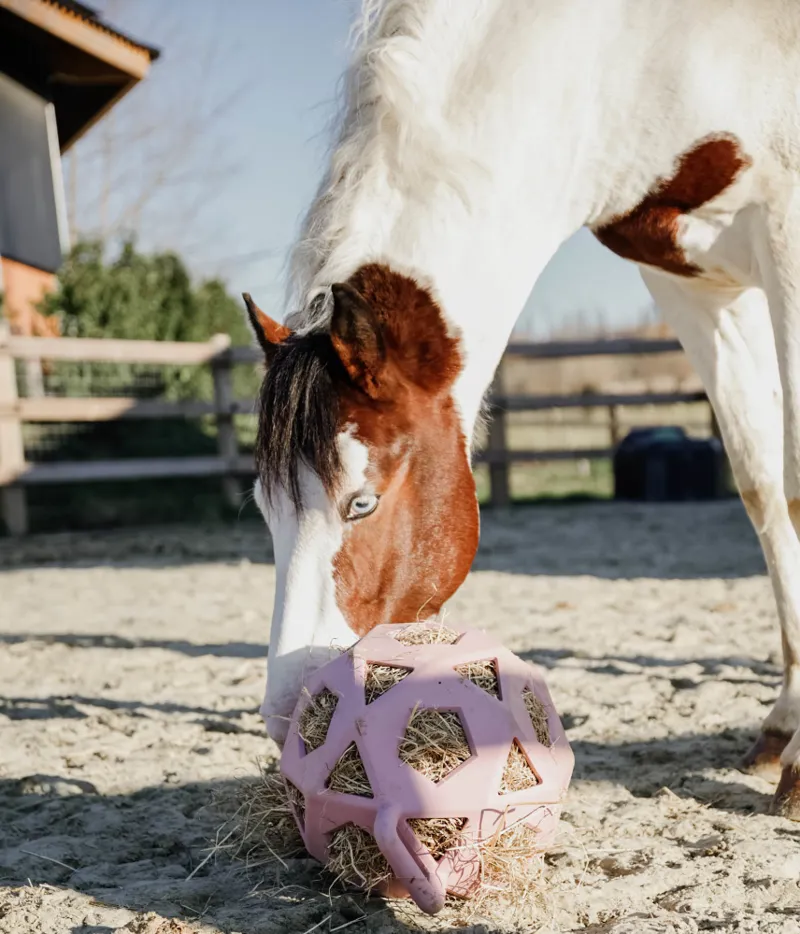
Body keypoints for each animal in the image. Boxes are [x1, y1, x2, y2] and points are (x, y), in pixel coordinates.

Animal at [243, 0, 800, 818]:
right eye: (263, 505)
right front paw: (785, 724)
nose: (291, 713)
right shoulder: (694, 286)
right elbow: (764, 492)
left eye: (362, 502)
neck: (633, 48)